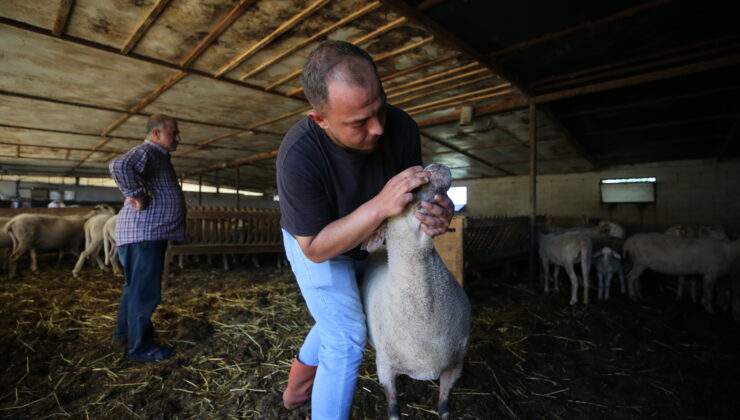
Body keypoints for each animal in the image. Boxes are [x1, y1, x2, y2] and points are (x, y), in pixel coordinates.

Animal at [362, 165, 472, 420]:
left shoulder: (455, 364)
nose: (432, 167)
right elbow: (393, 409)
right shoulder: (385, 367)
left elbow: (444, 407)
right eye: (409, 189)